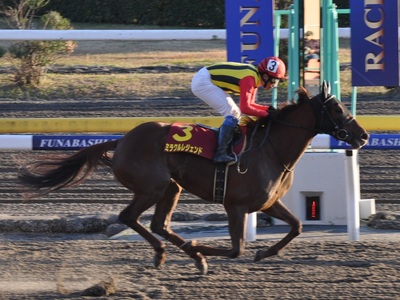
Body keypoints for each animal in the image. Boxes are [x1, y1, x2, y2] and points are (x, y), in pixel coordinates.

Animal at [18, 81, 368, 274]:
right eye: (337, 109)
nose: (363, 136)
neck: (270, 149)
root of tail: (122, 140)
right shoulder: (235, 206)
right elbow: (235, 249)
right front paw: (201, 248)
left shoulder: (268, 203)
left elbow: (296, 226)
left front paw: (262, 252)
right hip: (152, 187)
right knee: (129, 217)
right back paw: (177, 253)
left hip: (171, 187)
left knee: (159, 224)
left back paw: (178, 255)